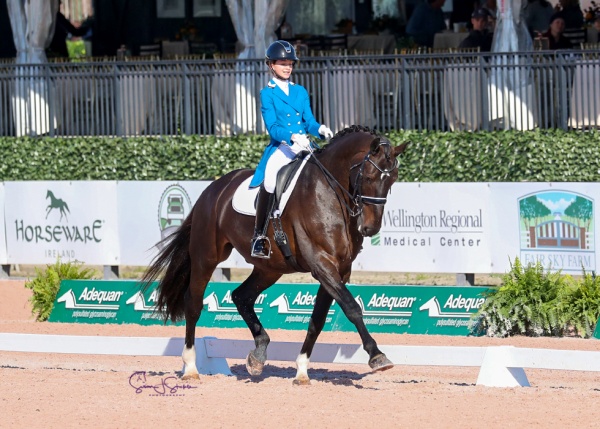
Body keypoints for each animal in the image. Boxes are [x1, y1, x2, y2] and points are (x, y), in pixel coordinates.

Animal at [143, 125, 410, 382]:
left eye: (393, 180)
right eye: (369, 176)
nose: (370, 228)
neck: (330, 192)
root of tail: (213, 188)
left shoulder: (339, 270)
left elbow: (318, 320)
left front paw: (301, 370)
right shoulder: (321, 264)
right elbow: (352, 308)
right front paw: (377, 356)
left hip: (270, 268)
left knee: (241, 296)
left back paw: (258, 354)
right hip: (206, 256)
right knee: (194, 303)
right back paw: (190, 366)